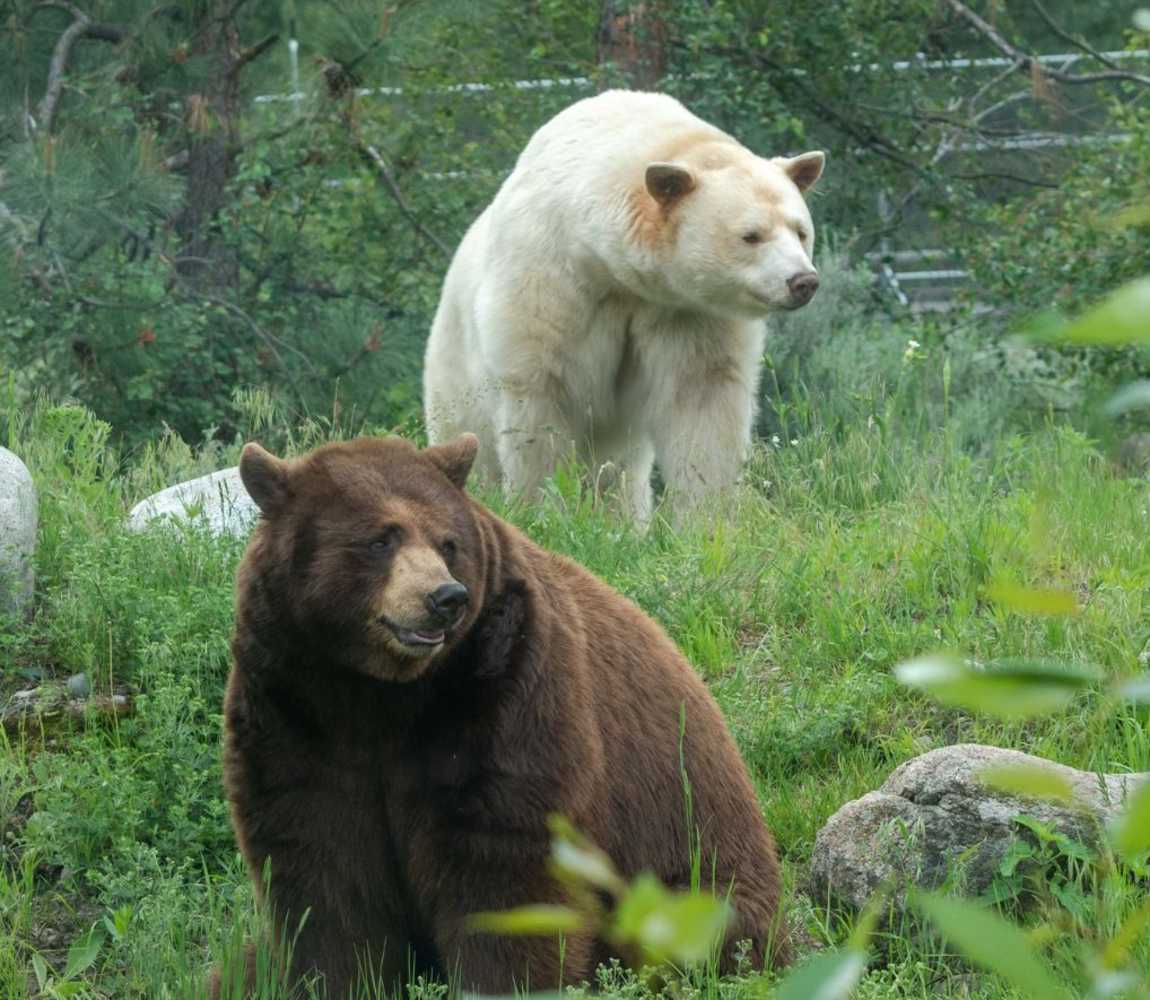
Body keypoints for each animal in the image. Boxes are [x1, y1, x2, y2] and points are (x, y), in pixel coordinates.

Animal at [216, 434, 791, 997]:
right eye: (381, 539)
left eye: (447, 542)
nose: (445, 597)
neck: (382, 692)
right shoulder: (295, 705)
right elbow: (323, 864)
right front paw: (343, 978)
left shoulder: (503, 687)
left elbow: (502, 860)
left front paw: (502, 981)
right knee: (237, 968)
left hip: (687, 872)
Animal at [427, 89, 823, 524]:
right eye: (751, 236)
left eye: (801, 231)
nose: (803, 281)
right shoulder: (553, 282)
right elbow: (540, 401)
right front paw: (541, 509)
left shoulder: (685, 313)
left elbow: (702, 401)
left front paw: (710, 517)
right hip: (454, 365)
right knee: (468, 436)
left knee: (619, 467)